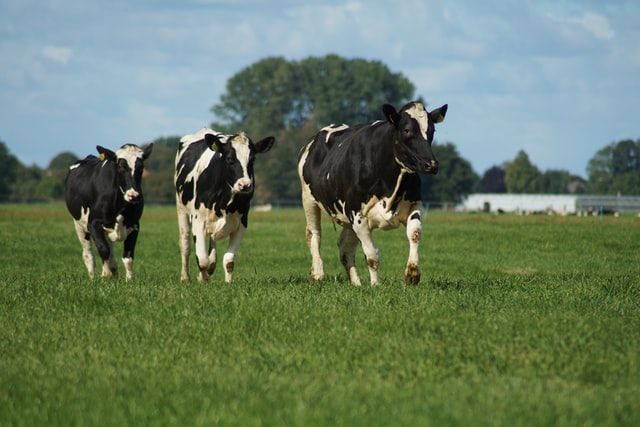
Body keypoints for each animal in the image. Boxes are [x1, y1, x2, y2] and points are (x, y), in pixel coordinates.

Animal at [65, 144, 154, 280]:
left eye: (141, 167)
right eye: (120, 166)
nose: (133, 195)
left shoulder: (135, 225)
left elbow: (128, 256)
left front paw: (129, 280)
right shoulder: (93, 223)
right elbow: (103, 249)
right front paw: (105, 275)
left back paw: (113, 271)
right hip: (79, 225)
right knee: (88, 255)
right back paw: (93, 277)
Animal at [175, 126, 276, 284]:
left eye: (252, 159)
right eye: (229, 159)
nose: (245, 185)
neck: (225, 202)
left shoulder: (242, 223)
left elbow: (228, 260)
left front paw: (228, 283)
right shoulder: (198, 220)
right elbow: (202, 259)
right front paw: (203, 279)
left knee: (212, 243)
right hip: (181, 209)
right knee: (185, 245)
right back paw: (185, 277)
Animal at [298, 101, 448, 286]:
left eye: (432, 130)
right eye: (406, 130)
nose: (431, 164)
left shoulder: (415, 203)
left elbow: (415, 234)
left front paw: (412, 273)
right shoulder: (357, 215)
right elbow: (372, 256)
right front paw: (376, 285)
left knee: (345, 247)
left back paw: (356, 283)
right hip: (308, 199)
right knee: (314, 234)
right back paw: (318, 274)